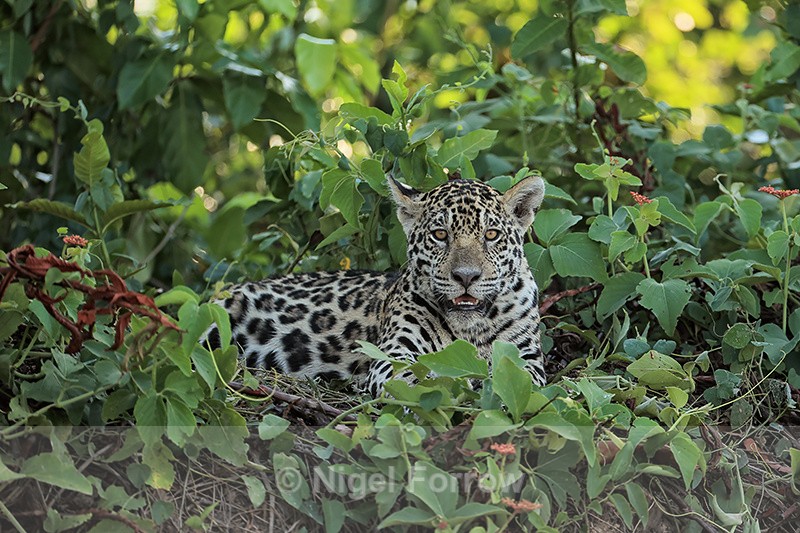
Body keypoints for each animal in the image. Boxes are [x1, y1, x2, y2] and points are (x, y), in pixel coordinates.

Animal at [202, 175, 547, 397]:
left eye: (491, 235)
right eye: (439, 235)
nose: (466, 276)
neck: (469, 331)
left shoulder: (528, 362)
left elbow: (508, 378)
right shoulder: (393, 355)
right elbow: (414, 380)